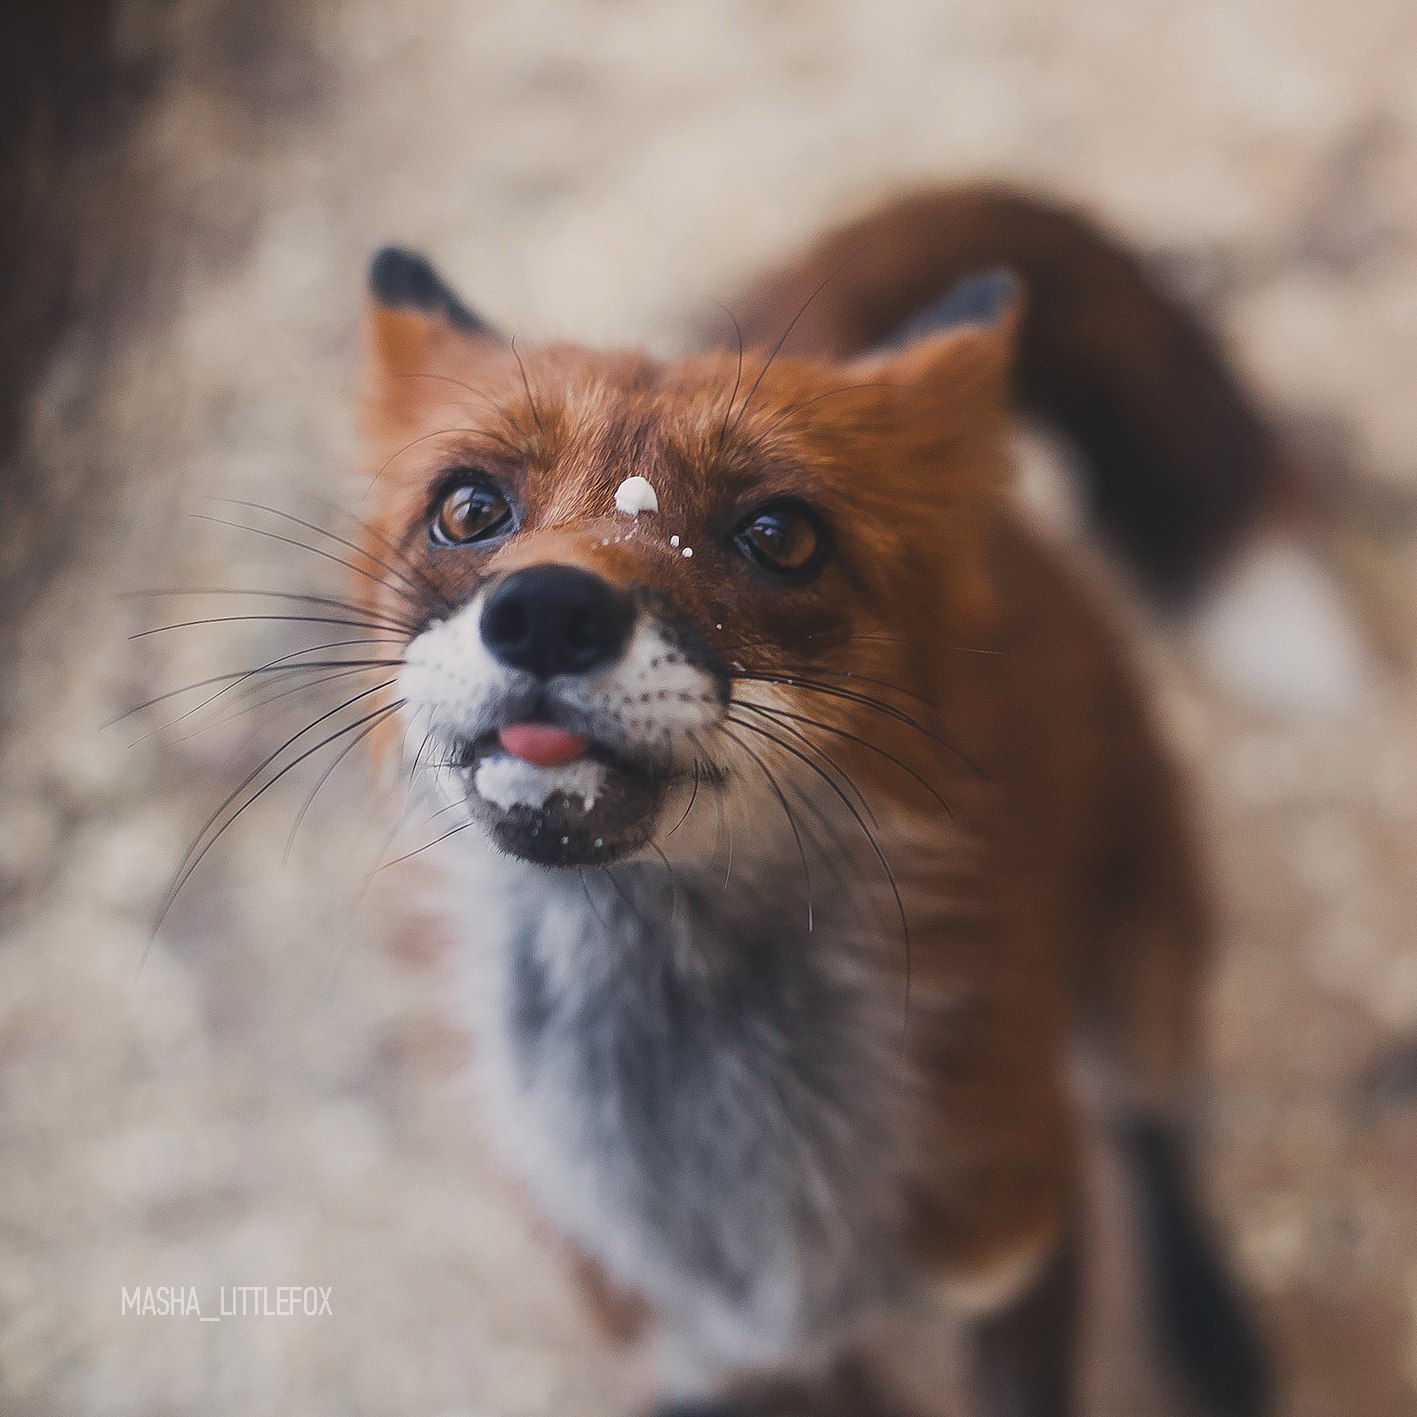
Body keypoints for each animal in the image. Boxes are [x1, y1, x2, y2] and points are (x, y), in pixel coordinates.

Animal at [345, 188, 1286, 1417]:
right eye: (469, 509)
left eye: (778, 534)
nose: (547, 612)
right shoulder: (713, 1358)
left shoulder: (1016, 1245)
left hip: (1142, 964)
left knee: (1156, 1128)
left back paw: (1209, 1321)